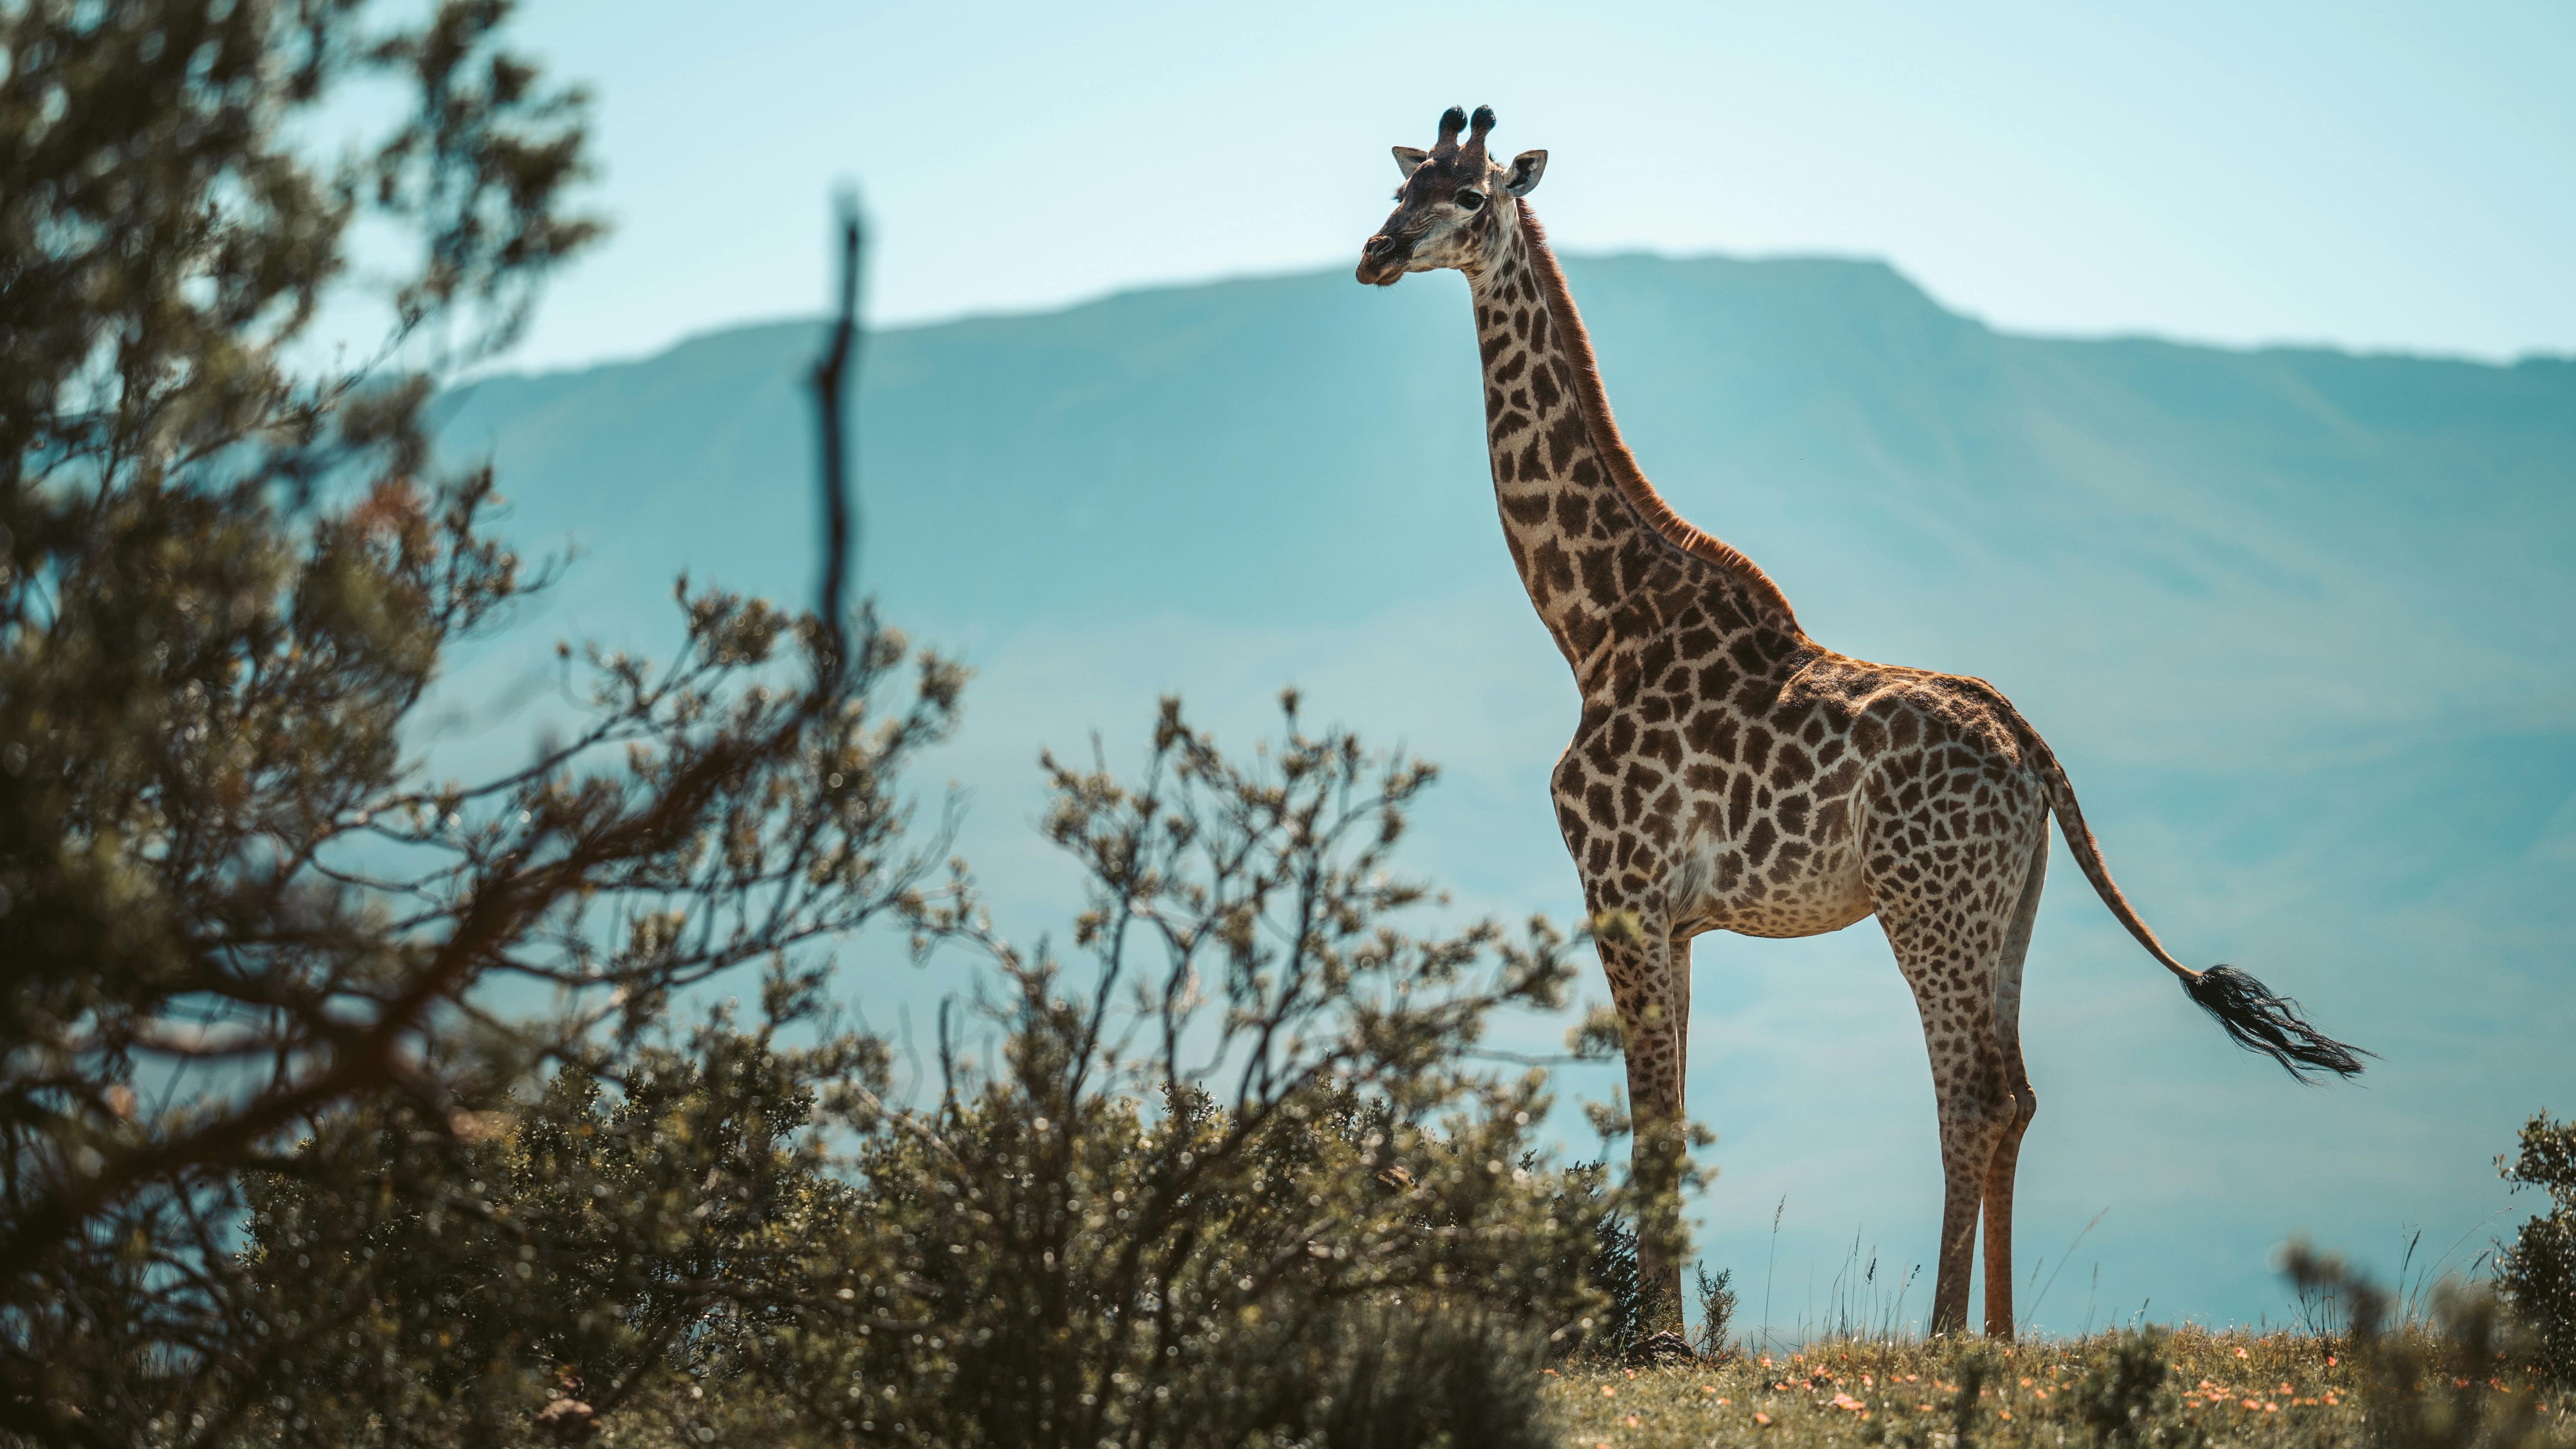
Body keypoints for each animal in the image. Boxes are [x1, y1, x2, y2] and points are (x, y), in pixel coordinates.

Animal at [1354, 106, 2368, 1342]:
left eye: (1470, 197)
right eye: (1403, 187)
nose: (1375, 254)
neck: (1589, 626)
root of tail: (2033, 754)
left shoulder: (1619, 889)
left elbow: (1651, 1116)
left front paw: (1654, 1340)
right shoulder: (1677, 918)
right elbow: (1674, 1107)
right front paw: (1670, 1332)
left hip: (1924, 905)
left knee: (1971, 1090)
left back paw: (1937, 1333)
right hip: (2005, 908)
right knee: (2015, 1087)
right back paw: (1998, 1333)